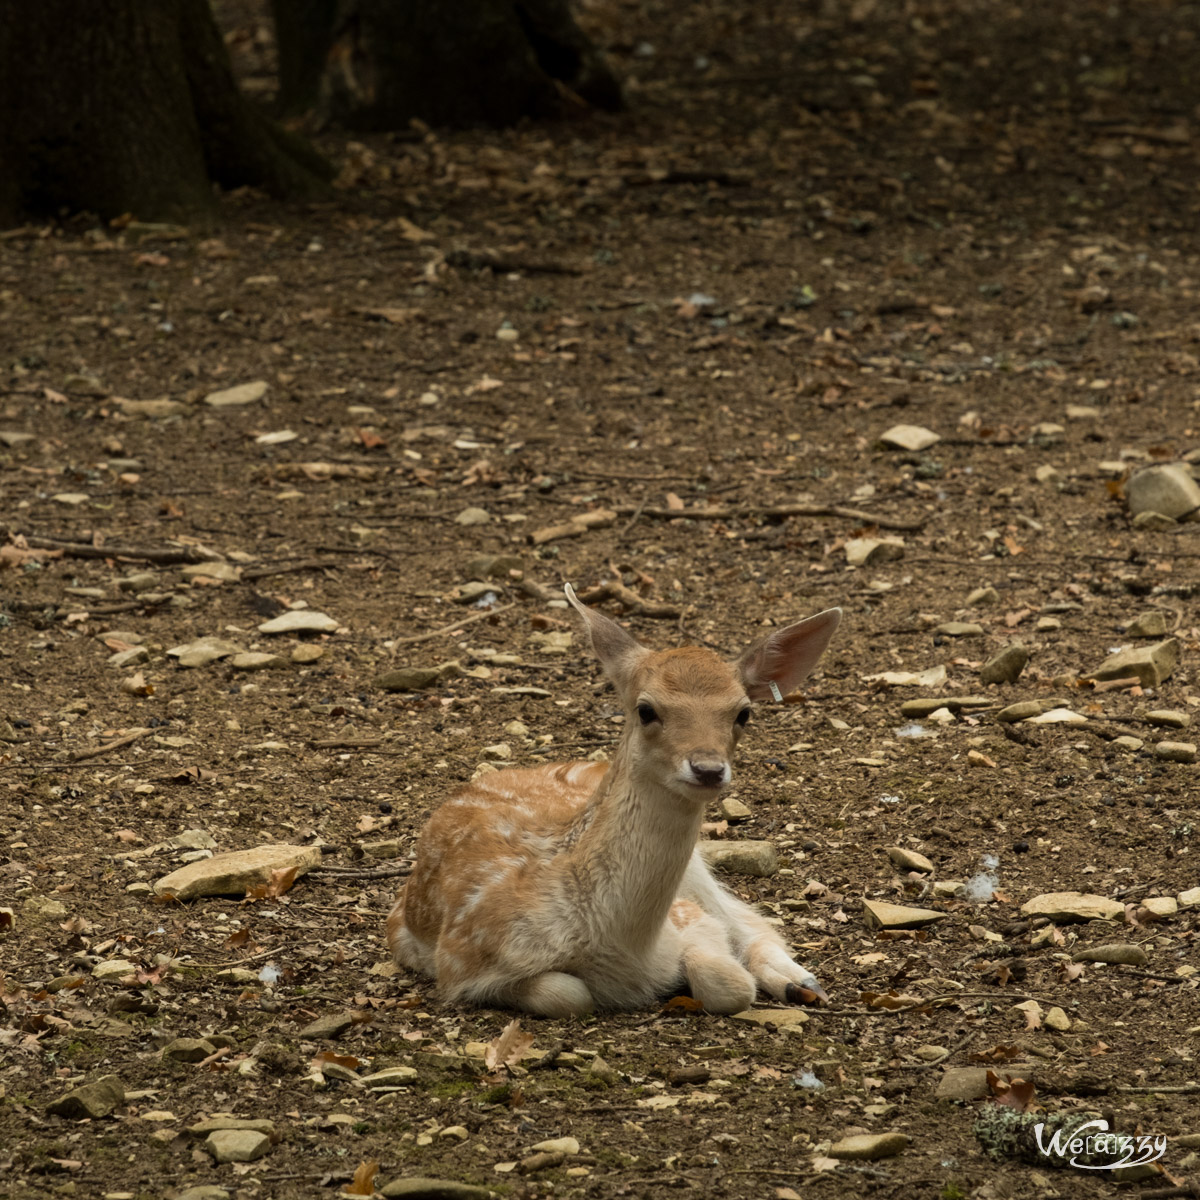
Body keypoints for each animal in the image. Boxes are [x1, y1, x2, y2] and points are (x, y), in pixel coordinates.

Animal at [386, 585, 844, 1017]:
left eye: (743, 713)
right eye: (646, 710)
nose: (708, 768)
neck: (626, 944)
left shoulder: (688, 916)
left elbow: (729, 981)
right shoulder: (460, 960)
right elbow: (570, 994)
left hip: (697, 870)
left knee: (747, 916)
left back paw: (801, 982)